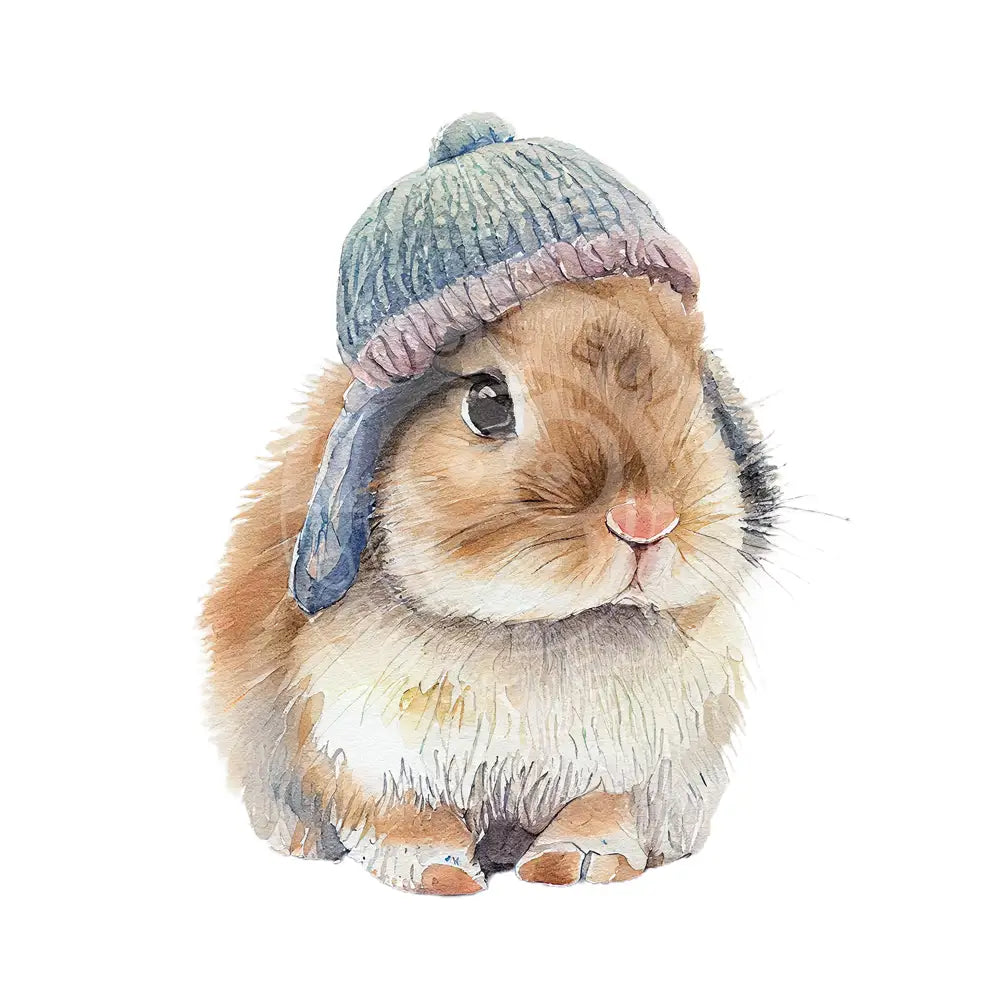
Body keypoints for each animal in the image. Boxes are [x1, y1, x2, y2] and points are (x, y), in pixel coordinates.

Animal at [203, 273, 779, 894]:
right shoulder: (361, 749)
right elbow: (406, 819)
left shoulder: (630, 762)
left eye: (695, 387)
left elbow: (599, 810)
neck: (541, 628)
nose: (646, 521)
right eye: (487, 403)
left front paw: (580, 864)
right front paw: (439, 874)